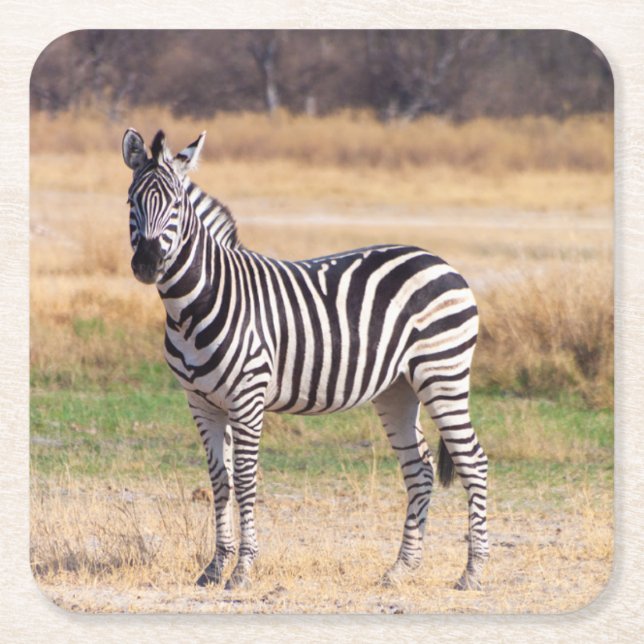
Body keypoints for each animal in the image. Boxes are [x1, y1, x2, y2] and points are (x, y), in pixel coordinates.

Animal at [122, 128, 489, 591]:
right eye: (131, 202)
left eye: (176, 206)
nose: (147, 265)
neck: (195, 306)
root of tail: (441, 262)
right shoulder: (201, 402)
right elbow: (219, 479)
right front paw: (214, 567)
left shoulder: (248, 398)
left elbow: (245, 478)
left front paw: (242, 570)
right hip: (398, 388)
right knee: (419, 468)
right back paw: (402, 567)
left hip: (443, 374)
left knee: (473, 461)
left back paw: (473, 572)